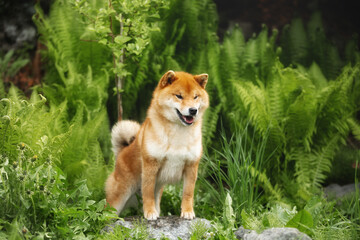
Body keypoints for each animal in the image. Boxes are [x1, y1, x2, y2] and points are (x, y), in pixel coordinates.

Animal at [105, 70, 208, 219]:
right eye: (179, 96)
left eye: (195, 97)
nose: (193, 110)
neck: (178, 132)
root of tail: (122, 152)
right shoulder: (150, 165)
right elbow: (147, 193)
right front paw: (149, 213)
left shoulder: (191, 166)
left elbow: (188, 193)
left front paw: (188, 212)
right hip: (121, 194)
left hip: (157, 188)